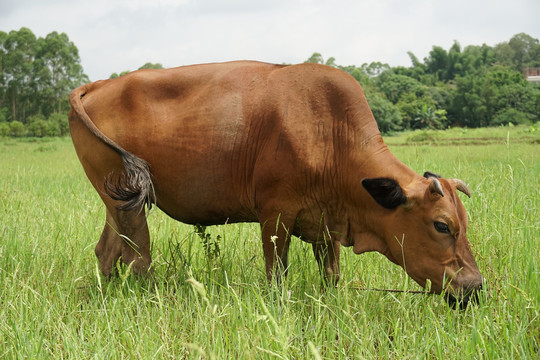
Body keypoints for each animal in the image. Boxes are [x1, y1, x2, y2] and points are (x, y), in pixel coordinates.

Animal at [69, 60, 484, 308]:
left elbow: (331, 274)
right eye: (442, 225)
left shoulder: (326, 226)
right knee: (138, 256)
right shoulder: (275, 216)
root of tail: (100, 84)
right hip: (131, 204)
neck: (331, 134)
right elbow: (276, 274)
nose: (474, 286)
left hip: (116, 200)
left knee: (107, 251)